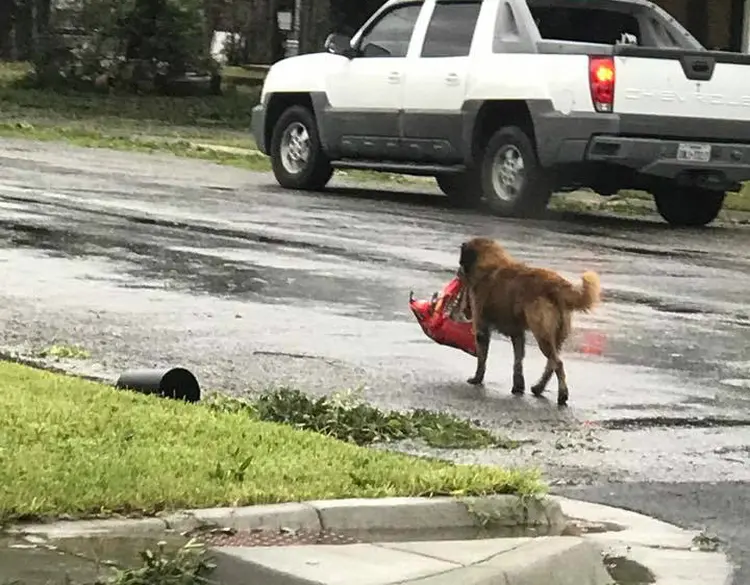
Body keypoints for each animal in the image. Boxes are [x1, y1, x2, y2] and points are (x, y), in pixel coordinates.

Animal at [458, 237, 600, 406]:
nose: (458, 272)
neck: (490, 263)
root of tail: (556, 283)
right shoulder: (517, 334)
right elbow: (518, 361)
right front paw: (518, 386)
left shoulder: (482, 329)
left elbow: (482, 359)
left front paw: (477, 379)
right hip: (556, 336)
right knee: (551, 364)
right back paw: (538, 388)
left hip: (542, 334)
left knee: (557, 363)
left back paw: (562, 395)